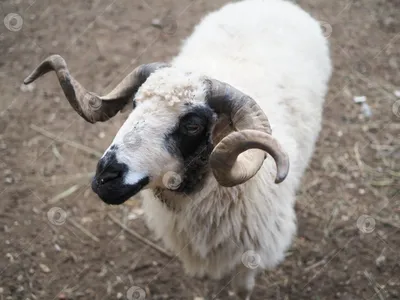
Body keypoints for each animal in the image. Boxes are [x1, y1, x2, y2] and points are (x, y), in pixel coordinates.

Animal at [23, 0, 332, 298]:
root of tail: (275, 2)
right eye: (134, 104)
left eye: (193, 125)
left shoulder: (251, 252)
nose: (105, 178)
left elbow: (242, 288)